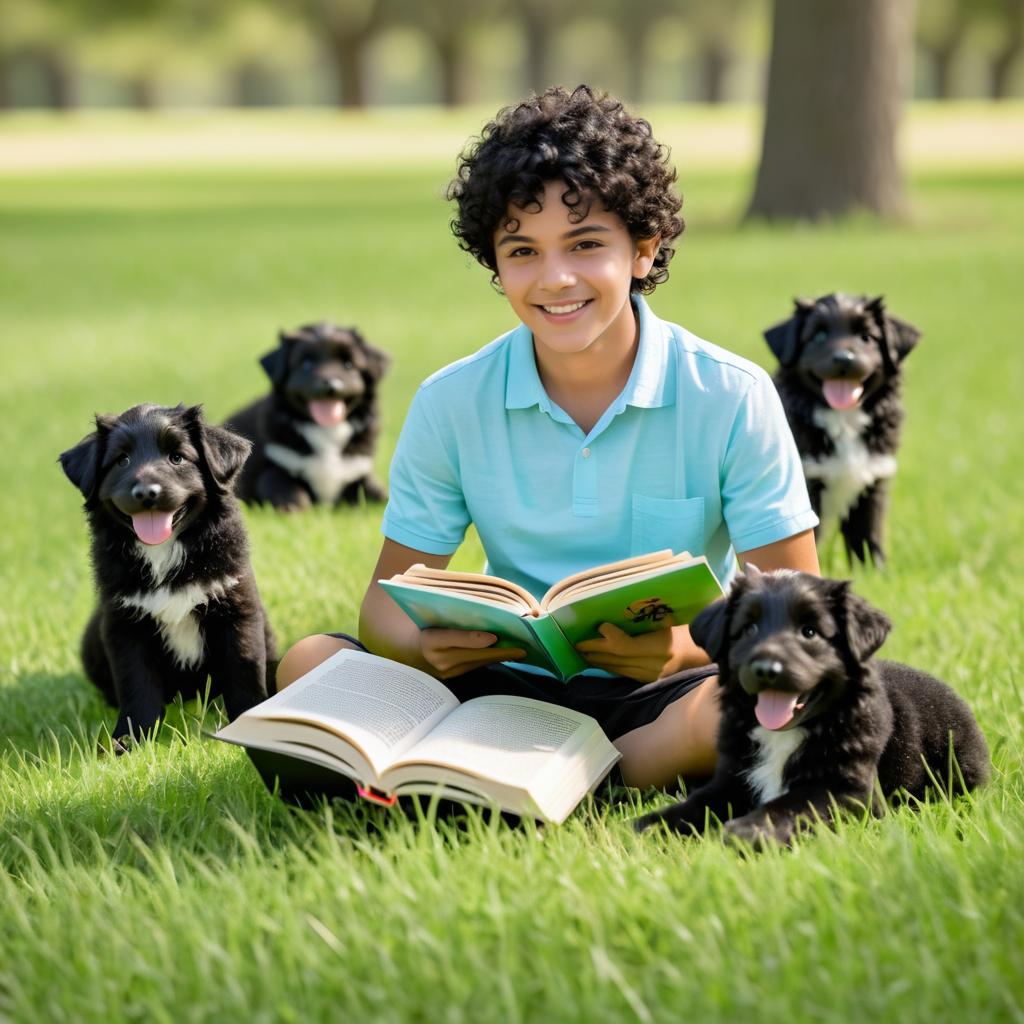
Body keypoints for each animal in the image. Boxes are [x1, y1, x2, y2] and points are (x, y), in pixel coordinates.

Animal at [58, 403, 276, 749]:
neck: (164, 551)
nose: (147, 492)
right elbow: (137, 688)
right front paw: (128, 744)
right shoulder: (124, 626)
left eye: (177, 457)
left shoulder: (237, 610)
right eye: (122, 460)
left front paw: (248, 728)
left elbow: (244, 670)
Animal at [226, 321, 389, 509]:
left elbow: (380, 492)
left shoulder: (358, 470)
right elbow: (291, 493)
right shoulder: (272, 471)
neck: (326, 431)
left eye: (348, 364)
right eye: (306, 364)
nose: (331, 385)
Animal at [634, 569, 987, 847]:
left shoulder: (851, 791)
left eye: (810, 632)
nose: (765, 669)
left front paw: (748, 830)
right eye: (748, 629)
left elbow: (793, 804)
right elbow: (697, 803)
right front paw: (649, 826)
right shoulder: (734, 776)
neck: (785, 733)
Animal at [761, 294, 921, 569]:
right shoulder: (809, 484)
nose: (844, 359)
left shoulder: (873, 482)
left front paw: (876, 572)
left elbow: (868, 538)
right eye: (818, 336)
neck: (843, 419)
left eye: (867, 337)